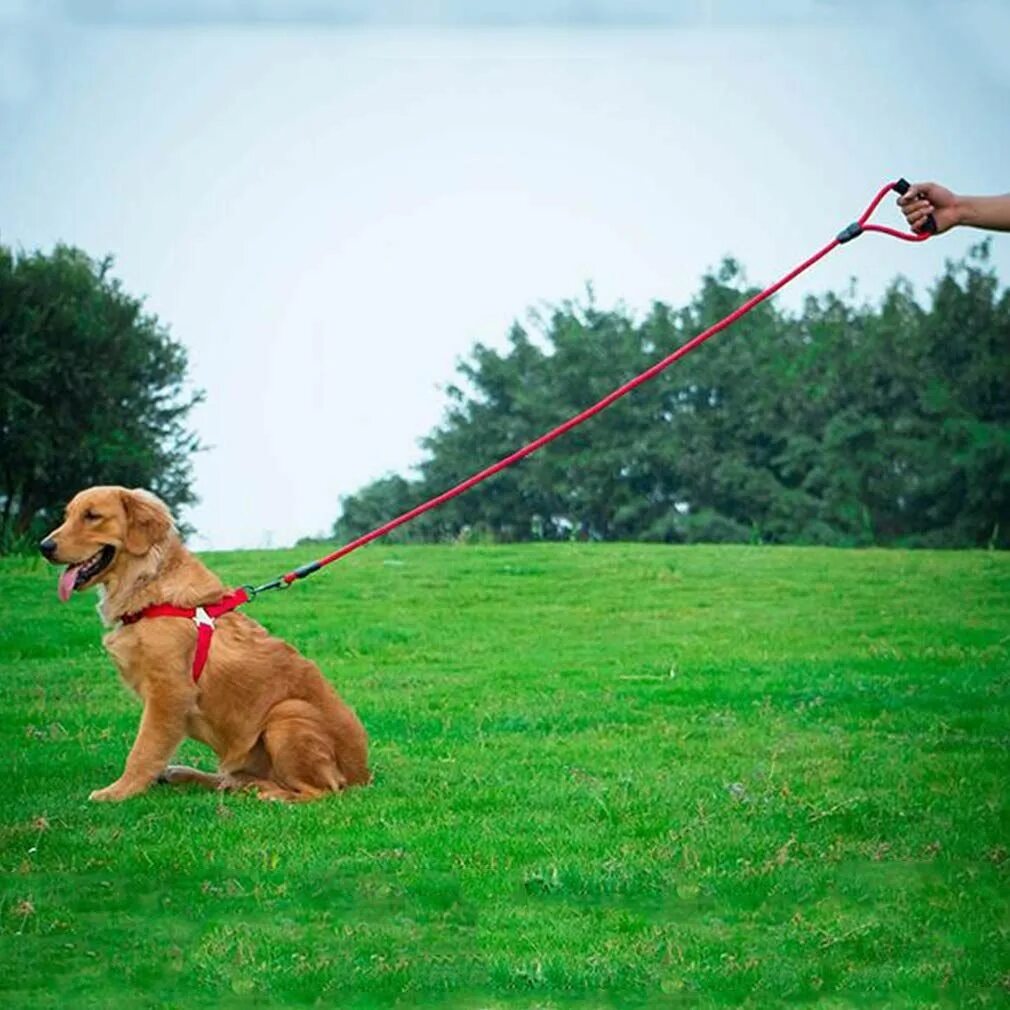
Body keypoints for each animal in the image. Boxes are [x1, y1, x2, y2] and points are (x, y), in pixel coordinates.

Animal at [41, 486, 371, 803]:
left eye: (92, 516)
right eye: (68, 516)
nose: (44, 547)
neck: (151, 589)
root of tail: (363, 776)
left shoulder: (170, 692)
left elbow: (143, 751)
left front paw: (118, 791)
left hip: (287, 713)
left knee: (322, 790)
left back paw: (270, 794)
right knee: (232, 777)